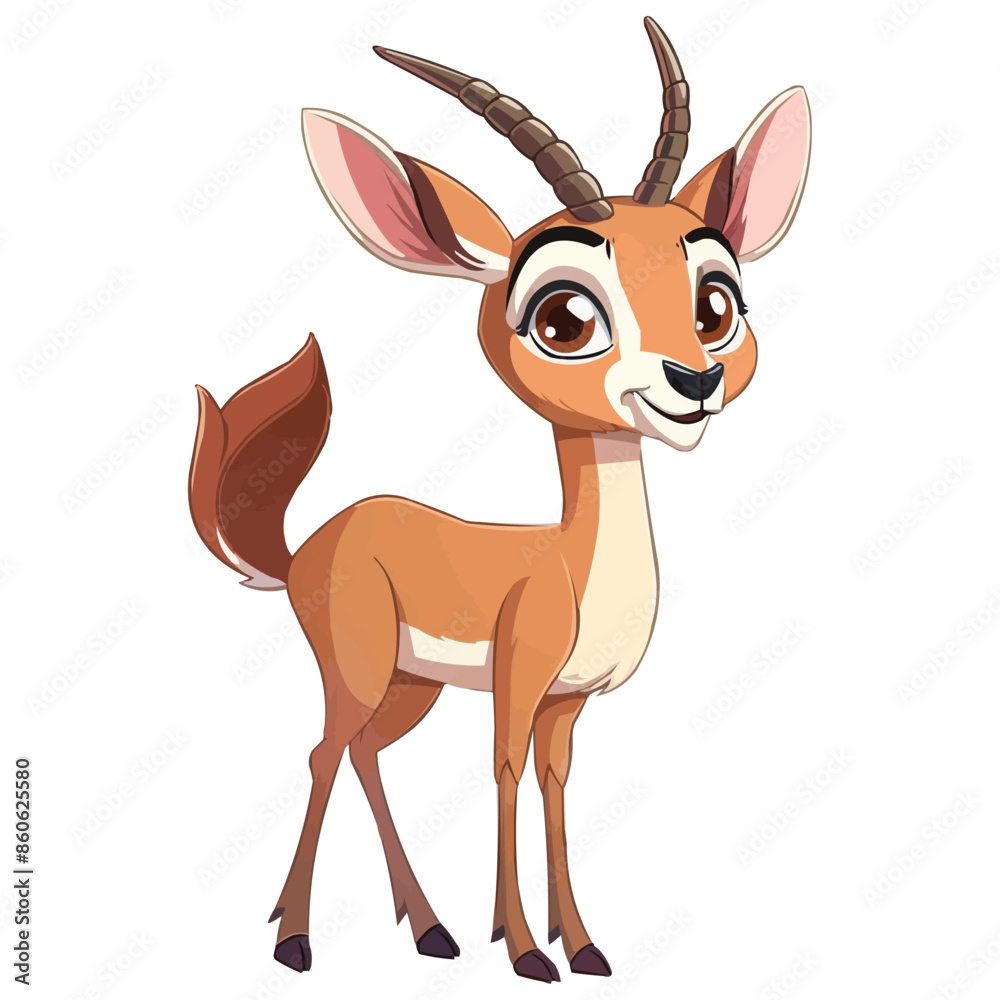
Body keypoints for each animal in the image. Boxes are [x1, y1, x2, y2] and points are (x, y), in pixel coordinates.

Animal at [189, 18, 810, 984]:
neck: (570, 561)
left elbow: (554, 785)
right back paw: (295, 940)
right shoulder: (519, 684)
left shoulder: (568, 702)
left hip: (410, 685)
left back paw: (431, 931)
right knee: (326, 749)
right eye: (564, 320)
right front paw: (523, 950)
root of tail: (306, 548)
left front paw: (581, 944)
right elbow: (506, 773)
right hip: (357, 667)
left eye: (715, 303)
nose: (693, 382)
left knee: (363, 753)